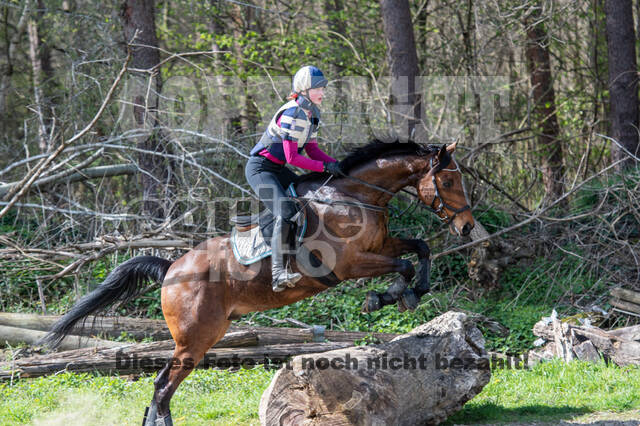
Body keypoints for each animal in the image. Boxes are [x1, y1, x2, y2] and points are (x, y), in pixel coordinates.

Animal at [38, 138, 470, 424]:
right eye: (449, 182)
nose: (466, 227)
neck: (354, 198)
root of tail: (172, 269)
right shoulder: (351, 264)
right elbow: (404, 266)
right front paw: (388, 297)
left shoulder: (380, 246)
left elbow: (419, 250)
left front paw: (412, 294)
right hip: (194, 338)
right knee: (162, 385)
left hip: (206, 335)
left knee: (163, 386)